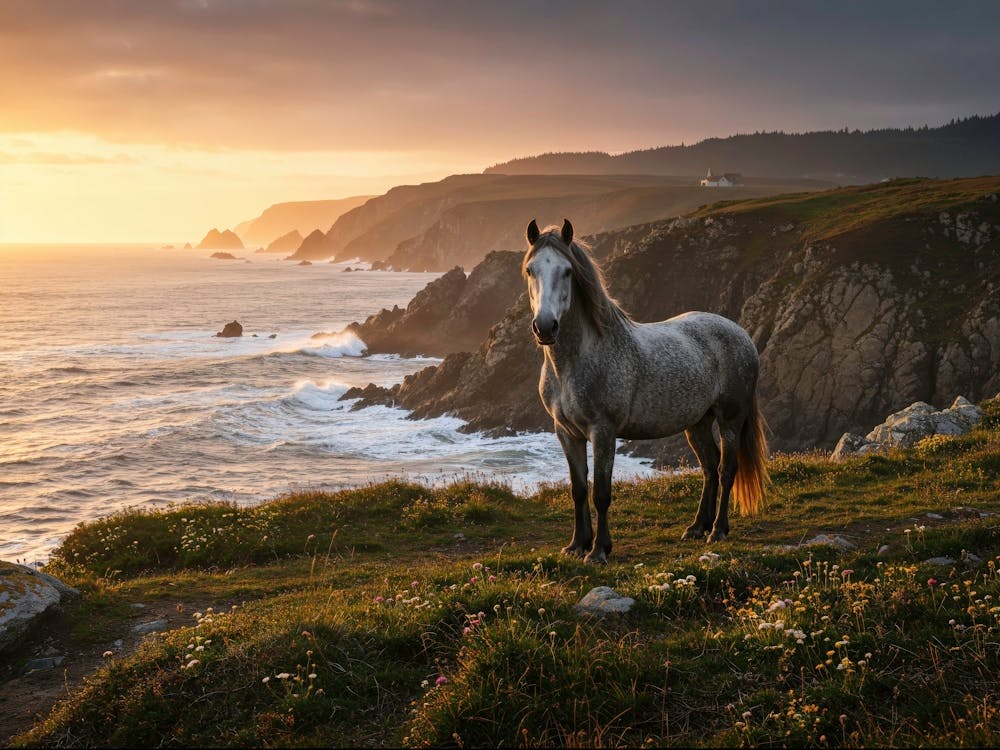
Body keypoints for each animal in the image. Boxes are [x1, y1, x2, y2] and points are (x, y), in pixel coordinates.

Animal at [523, 218, 769, 563]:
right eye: (530, 270)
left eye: (567, 271)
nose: (545, 327)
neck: (577, 360)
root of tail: (742, 334)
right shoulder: (566, 432)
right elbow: (578, 489)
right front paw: (577, 544)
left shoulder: (603, 431)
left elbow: (600, 493)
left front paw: (599, 550)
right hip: (698, 422)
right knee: (709, 466)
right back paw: (697, 527)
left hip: (730, 419)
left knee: (726, 468)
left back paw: (718, 530)